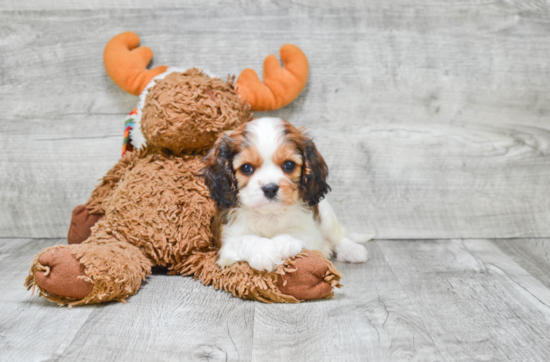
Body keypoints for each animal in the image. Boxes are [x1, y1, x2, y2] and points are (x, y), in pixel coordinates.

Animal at [201, 117, 368, 272]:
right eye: (246, 168)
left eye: (289, 165)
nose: (270, 189)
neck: (269, 214)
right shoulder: (226, 243)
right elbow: (246, 240)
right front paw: (264, 252)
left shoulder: (309, 230)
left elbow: (294, 233)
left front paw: (278, 244)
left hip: (326, 215)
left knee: (339, 235)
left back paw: (352, 250)